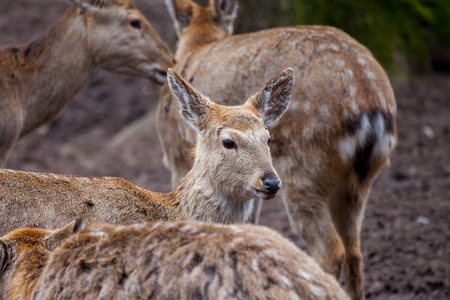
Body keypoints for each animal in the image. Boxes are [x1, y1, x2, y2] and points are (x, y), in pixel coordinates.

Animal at [155, 1, 398, 298]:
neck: (198, 43)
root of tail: (373, 108)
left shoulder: (177, 158)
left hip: (303, 168)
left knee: (331, 249)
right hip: (358, 182)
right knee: (355, 251)